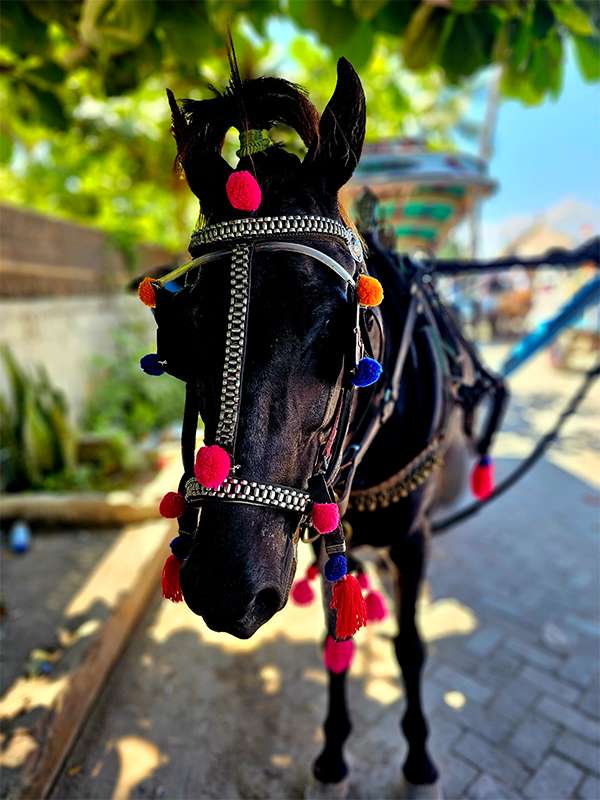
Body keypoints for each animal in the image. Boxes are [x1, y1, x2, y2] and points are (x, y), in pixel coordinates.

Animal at [138, 53, 503, 799]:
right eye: (181, 329)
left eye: (340, 331)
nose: (225, 587)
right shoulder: (324, 533)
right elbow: (336, 635)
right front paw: (334, 748)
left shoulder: (413, 538)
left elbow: (412, 645)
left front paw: (419, 755)